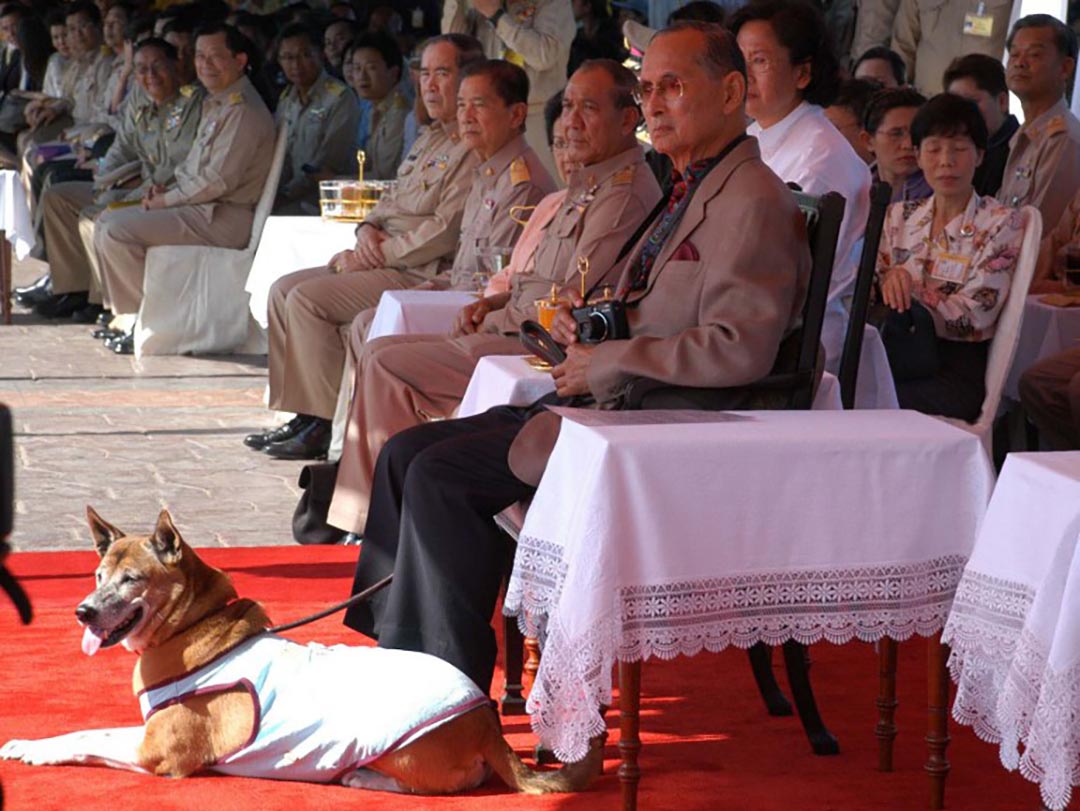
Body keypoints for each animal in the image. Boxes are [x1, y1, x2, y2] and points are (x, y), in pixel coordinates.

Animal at [0, 507, 609, 794]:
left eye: (131, 580)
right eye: (97, 576)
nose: (82, 612)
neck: (192, 626)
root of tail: (486, 722)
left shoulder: (159, 752)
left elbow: (89, 737)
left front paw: (39, 752)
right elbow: (90, 729)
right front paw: (31, 742)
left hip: (393, 744)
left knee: (458, 781)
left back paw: (364, 778)